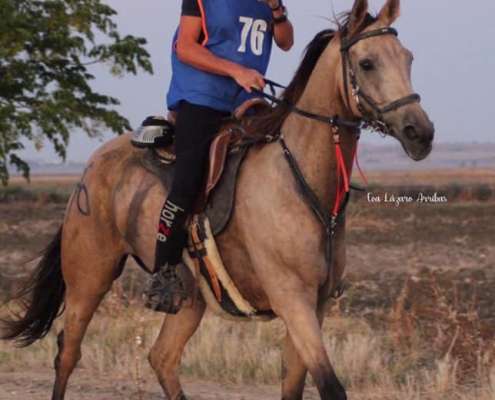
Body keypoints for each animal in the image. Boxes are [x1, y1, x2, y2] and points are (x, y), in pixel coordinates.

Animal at [0, 0, 434, 398]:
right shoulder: (292, 298)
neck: (299, 176)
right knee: (68, 352)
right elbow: (330, 386)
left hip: (190, 297)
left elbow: (294, 385)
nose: (421, 133)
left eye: (409, 58)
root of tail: (91, 166)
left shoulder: (317, 303)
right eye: (367, 63)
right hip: (90, 275)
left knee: (162, 357)